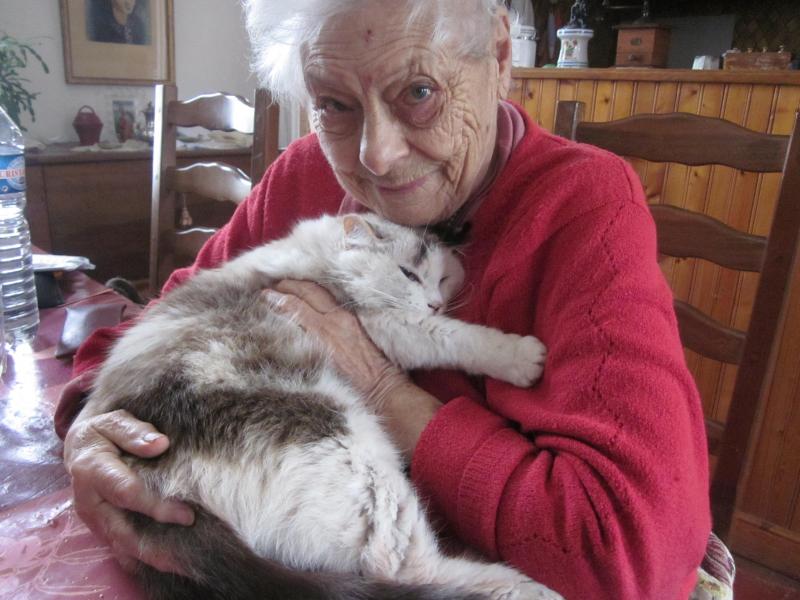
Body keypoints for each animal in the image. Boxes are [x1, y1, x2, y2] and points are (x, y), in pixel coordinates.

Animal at [82, 213, 560, 600]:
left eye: (442, 278)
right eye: (408, 273)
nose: (436, 301)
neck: (326, 254)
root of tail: (166, 501)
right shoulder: (386, 323)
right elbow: (454, 337)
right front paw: (523, 357)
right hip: (355, 453)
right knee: (408, 570)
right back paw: (528, 588)